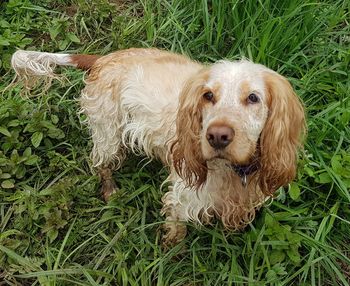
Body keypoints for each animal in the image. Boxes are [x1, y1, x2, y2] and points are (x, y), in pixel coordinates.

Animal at [10, 48, 306, 246]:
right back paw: (111, 191)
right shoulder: (182, 196)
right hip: (108, 133)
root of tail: (103, 58)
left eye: (253, 98)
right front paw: (171, 249)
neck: (234, 172)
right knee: (102, 164)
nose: (217, 136)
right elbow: (176, 228)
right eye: (208, 95)